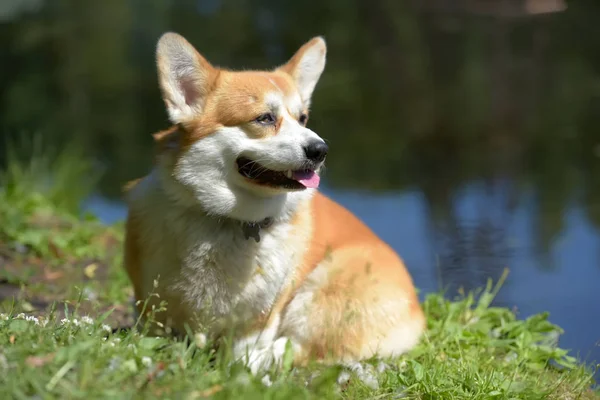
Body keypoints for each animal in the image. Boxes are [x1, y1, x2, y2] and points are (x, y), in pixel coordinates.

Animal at [123, 32, 422, 374]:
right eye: (265, 118)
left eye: (302, 118)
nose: (320, 150)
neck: (230, 220)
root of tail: (417, 309)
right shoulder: (152, 305)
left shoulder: (260, 317)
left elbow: (246, 351)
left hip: (328, 286)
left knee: (311, 347)